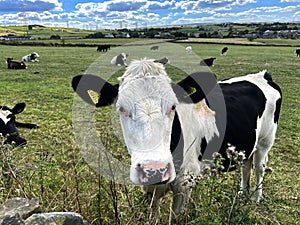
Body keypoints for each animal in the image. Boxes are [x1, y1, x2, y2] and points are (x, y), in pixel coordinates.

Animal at [72, 58, 282, 223]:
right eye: (121, 108)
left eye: (173, 106)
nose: (154, 168)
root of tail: (263, 75)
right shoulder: (149, 186)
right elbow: (153, 214)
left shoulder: (184, 183)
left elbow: (176, 217)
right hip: (248, 144)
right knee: (246, 165)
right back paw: (241, 193)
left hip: (265, 141)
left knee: (259, 167)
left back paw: (255, 198)